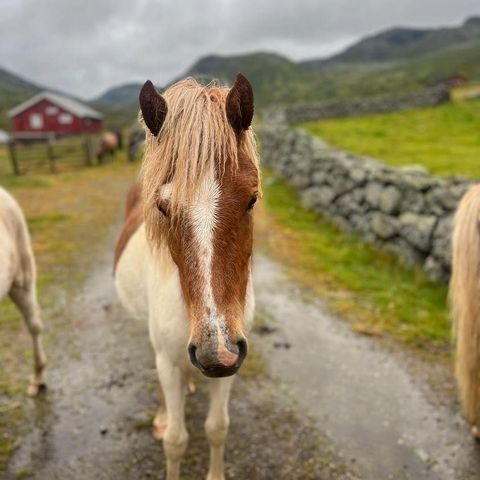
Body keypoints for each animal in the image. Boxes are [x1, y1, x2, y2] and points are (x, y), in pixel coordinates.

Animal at [115, 73, 260, 478]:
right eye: (163, 208)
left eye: (252, 199)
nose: (216, 352)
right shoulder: (169, 359)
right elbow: (176, 441)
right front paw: (168, 423)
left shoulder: (232, 362)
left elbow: (217, 427)